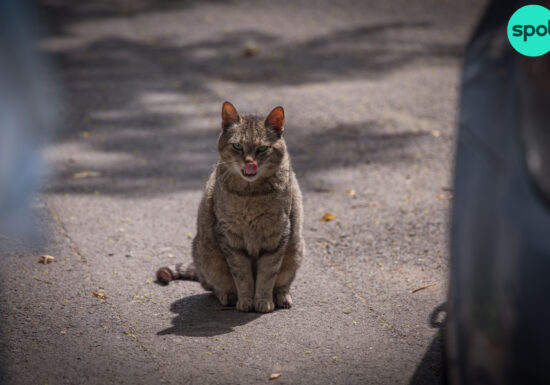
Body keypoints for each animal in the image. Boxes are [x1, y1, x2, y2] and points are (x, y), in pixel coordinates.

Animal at [156, 100, 306, 310]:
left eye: (262, 149)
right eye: (237, 146)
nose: (249, 162)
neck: (250, 194)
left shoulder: (277, 235)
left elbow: (267, 275)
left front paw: (263, 301)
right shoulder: (230, 237)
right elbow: (242, 275)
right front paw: (246, 300)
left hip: (296, 248)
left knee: (283, 283)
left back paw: (282, 296)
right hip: (207, 255)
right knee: (212, 286)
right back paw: (227, 295)